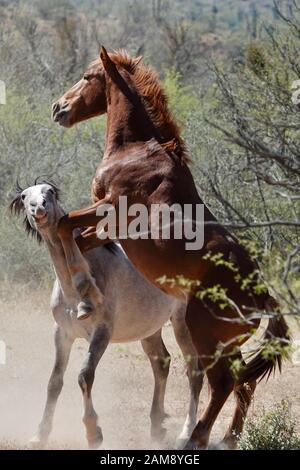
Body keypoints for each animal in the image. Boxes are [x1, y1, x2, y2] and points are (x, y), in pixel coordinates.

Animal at [10, 182, 203, 450]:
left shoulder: (101, 332)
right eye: (25, 196)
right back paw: (156, 430)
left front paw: (93, 433)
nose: (39, 207)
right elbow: (54, 382)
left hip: (181, 324)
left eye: (50, 191)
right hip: (150, 328)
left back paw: (186, 435)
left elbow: (84, 376)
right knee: (161, 363)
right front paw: (39, 435)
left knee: (195, 371)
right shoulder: (62, 334)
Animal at [52, 46, 290, 448]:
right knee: (242, 381)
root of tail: (262, 296)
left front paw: (83, 297)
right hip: (225, 343)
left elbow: (63, 225)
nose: (58, 108)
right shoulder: (107, 228)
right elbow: (74, 238)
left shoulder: (108, 211)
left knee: (223, 382)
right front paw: (83, 296)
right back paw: (226, 438)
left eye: (87, 76)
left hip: (204, 334)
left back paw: (194, 438)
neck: (136, 151)